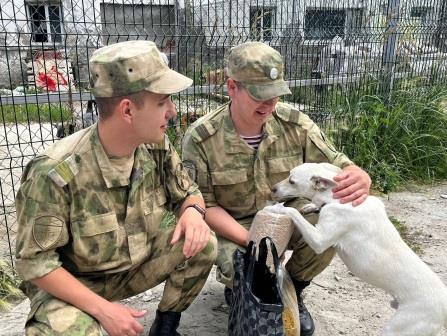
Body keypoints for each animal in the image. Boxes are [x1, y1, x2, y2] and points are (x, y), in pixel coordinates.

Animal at [266, 162, 447, 334]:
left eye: (292, 181)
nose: (272, 188)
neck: (336, 198)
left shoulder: (319, 240)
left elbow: (292, 211)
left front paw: (276, 207)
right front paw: (310, 207)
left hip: (399, 328)